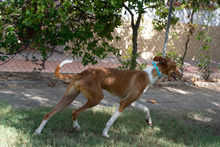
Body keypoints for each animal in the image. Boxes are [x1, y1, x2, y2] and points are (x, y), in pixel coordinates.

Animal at [34, 55, 182, 137]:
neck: (150, 74)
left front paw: (149, 121)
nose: (182, 74)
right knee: (74, 112)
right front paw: (105, 134)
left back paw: (38, 131)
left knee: (49, 114)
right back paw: (76, 127)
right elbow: (111, 121)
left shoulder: (129, 100)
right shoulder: (124, 102)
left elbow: (146, 108)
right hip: (96, 98)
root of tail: (81, 73)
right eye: (175, 66)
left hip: (68, 98)